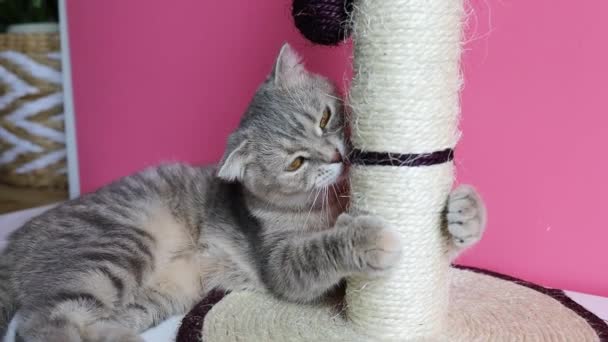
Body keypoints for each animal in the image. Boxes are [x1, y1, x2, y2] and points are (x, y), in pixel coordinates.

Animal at [0, 44, 484, 340]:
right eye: (295, 163)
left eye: (326, 118)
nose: (334, 156)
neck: (333, 200)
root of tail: (15, 240)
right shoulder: (284, 266)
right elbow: (321, 251)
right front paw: (364, 236)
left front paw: (465, 212)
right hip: (114, 248)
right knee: (42, 324)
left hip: (158, 295)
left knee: (91, 322)